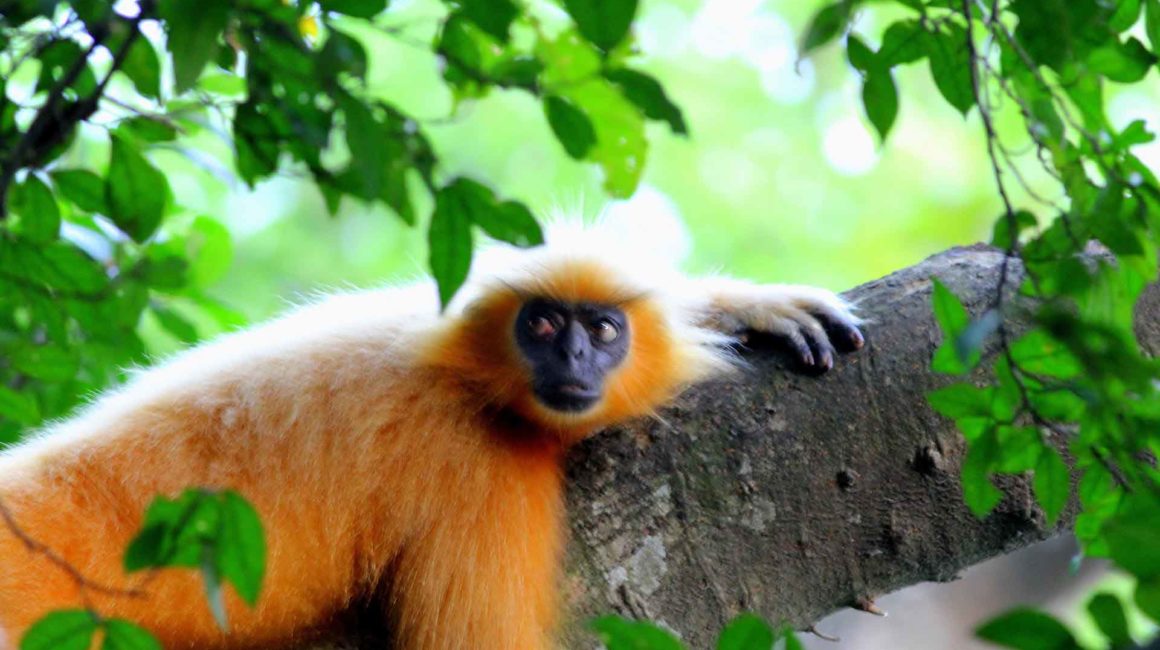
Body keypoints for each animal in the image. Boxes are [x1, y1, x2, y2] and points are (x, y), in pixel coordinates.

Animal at [0, 229, 863, 650]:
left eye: (603, 329)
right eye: (541, 326)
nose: (575, 362)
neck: (469, 384)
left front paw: (747, 305)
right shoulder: (477, 469)